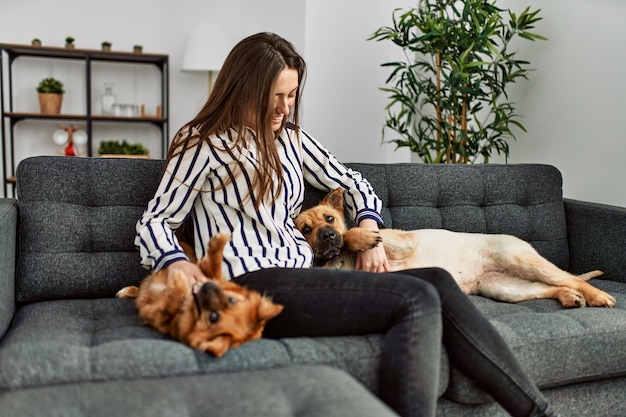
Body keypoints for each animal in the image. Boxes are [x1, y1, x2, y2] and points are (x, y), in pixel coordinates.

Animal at [116, 232, 282, 356]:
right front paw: (218, 243)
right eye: (231, 300)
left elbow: (167, 306)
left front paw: (178, 282)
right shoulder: (207, 272)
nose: (207, 287)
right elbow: (214, 266)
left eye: (213, 317)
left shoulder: (155, 313)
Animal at [294, 187, 616, 308]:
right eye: (305, 230)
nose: (328, 236)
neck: (340, 262)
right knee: (550, 287)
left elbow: (354, 232)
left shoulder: (403, 241)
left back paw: (597, 296)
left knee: (571, 278)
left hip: (520, 260)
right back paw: (568, 297)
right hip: (506, 288)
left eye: (330, 219)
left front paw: (359, 239)